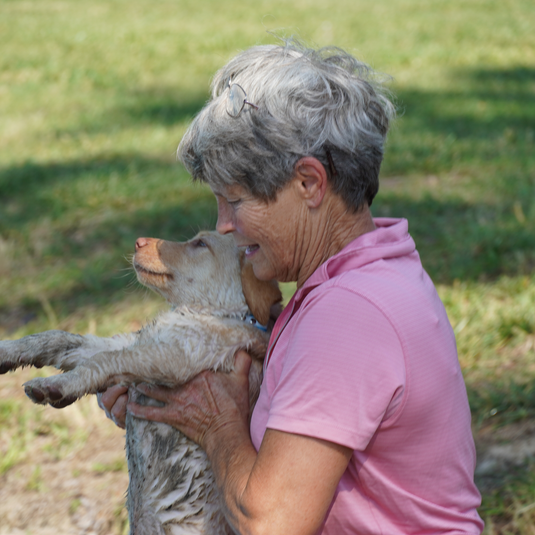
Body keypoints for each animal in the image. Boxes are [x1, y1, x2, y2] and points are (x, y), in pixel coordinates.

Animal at [0, 233, 284, 535]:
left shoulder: (172, 355)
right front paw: (6, 351)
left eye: (200, 243)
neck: (213, 313)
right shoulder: (131, 343)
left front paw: (56, 386)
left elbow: (102, 361)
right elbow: (54, 338)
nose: (138, 241)